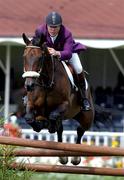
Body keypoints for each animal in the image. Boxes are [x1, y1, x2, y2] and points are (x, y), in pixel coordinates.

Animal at [21, 33, 95, 165]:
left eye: (40, 58)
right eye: (24, 57)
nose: (29, 86)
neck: (46, 83)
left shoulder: (65, 104)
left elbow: (53, 116)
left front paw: (48, 125)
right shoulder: (31, 104)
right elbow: (29, 118)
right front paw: (40, 124)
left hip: (87, 117)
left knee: (80, 129)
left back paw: (75, 158)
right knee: (61, 129)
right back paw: (62, 157)